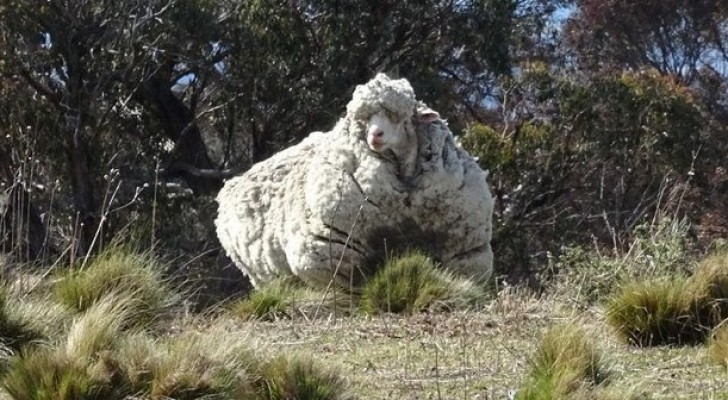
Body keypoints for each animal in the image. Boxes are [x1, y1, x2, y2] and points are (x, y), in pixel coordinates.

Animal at [213, 72, 492, 290]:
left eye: (399, 117)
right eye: (364, 119)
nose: (375, 135)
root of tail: (227, 187)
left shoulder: (466, 252)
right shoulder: (331, 252)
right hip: (263, 275)